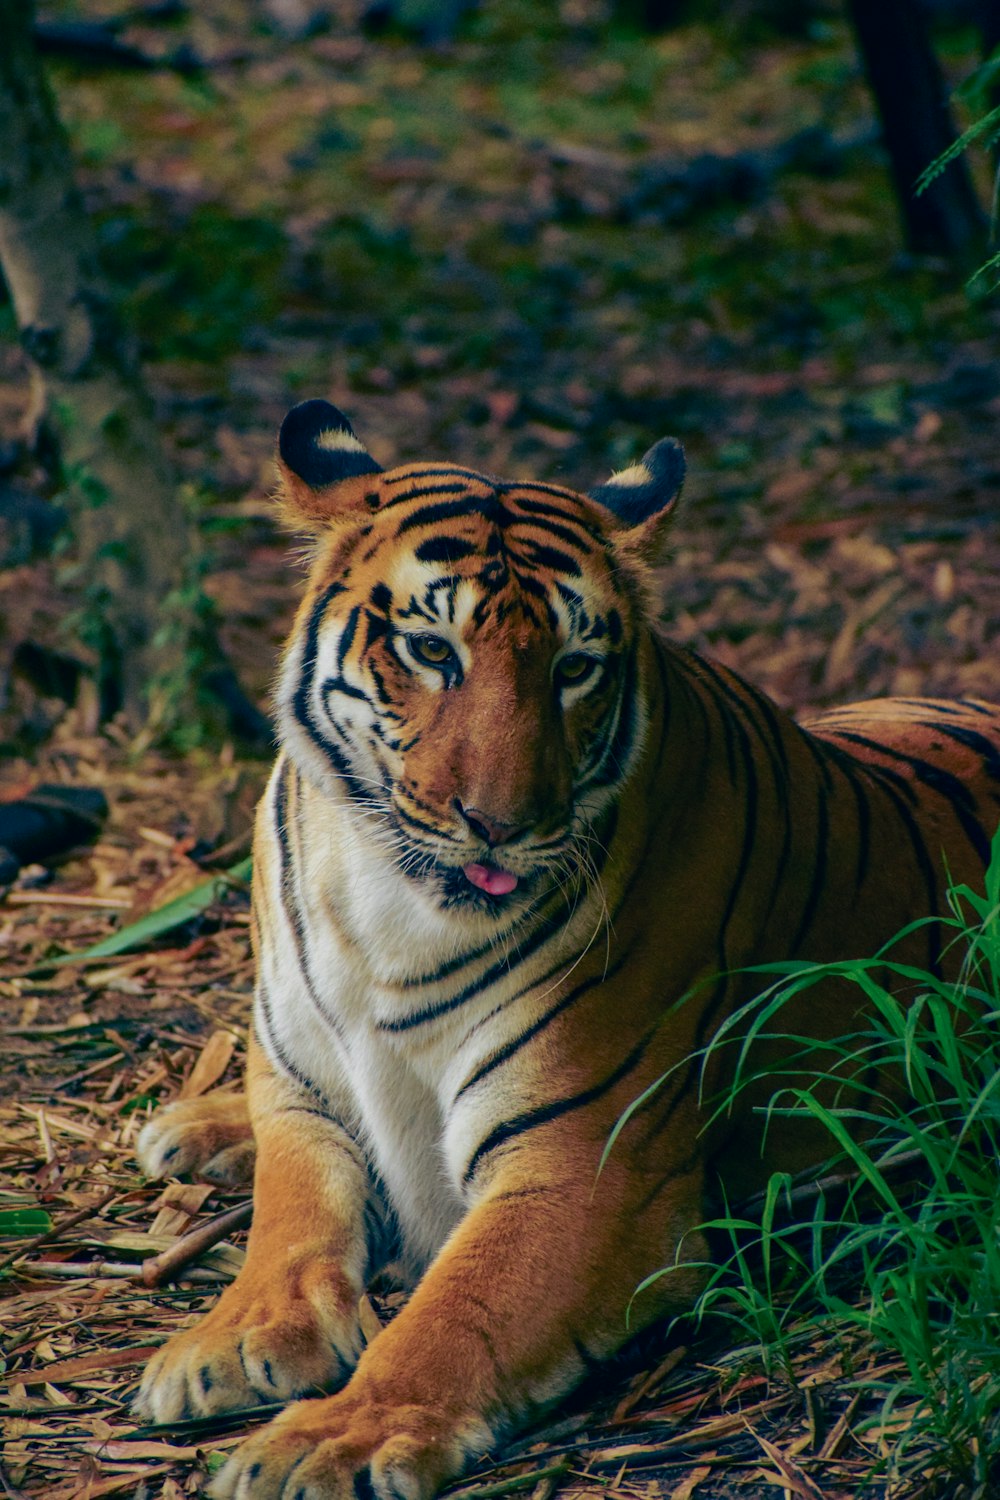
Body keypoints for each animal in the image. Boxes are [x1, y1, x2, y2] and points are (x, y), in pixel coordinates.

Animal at [134, 399, 1000, 1500]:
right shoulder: (303, 1088)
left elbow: (448, 1318)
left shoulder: (581, 1162)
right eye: (431, 651)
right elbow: (286, 1221)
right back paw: (193, 1126)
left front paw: (331, 1439)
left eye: (574, 669)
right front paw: (235, 1337)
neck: (385, 906)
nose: (501, 825)